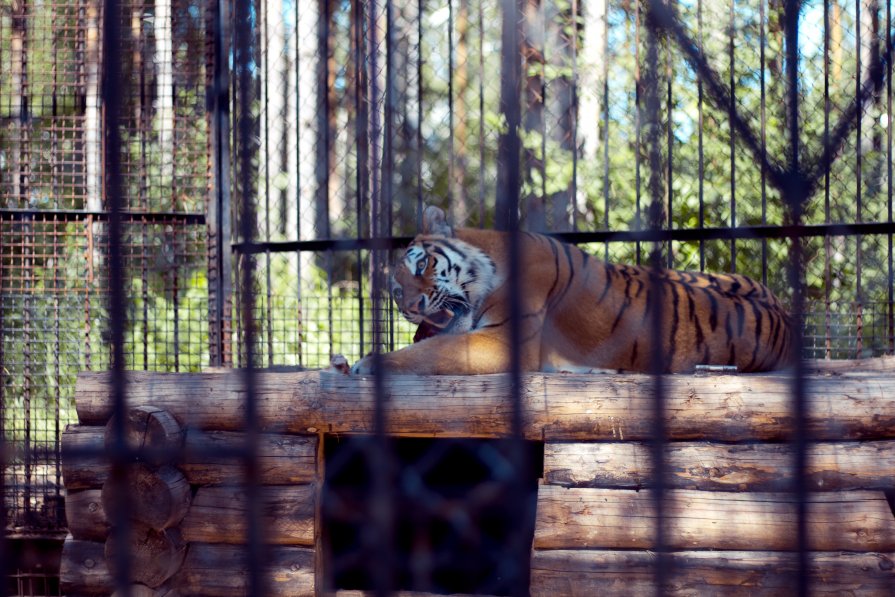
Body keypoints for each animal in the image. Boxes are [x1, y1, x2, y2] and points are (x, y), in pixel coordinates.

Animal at [350, 205, 792, 372]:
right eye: (396, 291)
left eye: (423, 264)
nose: (410, 306)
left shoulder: (503, 341)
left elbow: (428, 350)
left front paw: (368, 364)